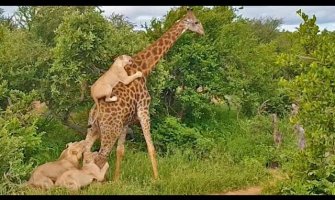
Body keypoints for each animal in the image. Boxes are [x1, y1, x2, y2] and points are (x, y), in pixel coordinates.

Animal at [84, 7, 205, 180]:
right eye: (196, 22)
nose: (203, 32)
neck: (144, 67)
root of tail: (96, 112)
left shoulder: (126, 121)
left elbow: (121, 151)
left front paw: (116, 180)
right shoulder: (144, 109)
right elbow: (151, 147)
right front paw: (157, 180)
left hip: (93, 129)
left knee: (86, 151)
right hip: (110, 131)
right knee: (100, 157)